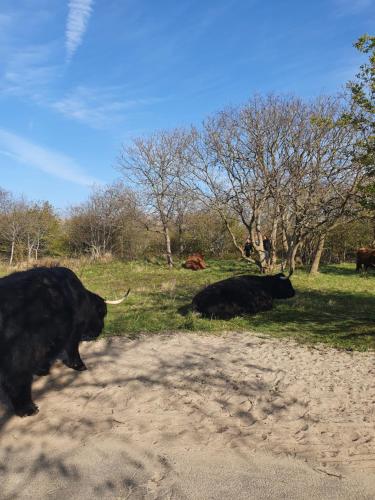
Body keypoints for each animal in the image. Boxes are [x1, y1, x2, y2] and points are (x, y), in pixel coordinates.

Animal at [0, 268, 129, 416]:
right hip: (20, 351)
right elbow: (72, 348)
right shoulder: (72, 330)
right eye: (102, 314)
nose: (99, 331)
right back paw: (27, 408)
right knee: (16, 377)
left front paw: (43, 369)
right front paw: (79, 365)